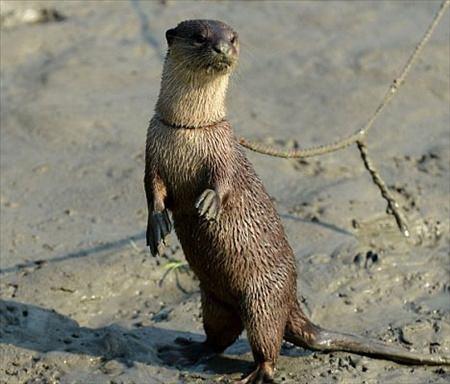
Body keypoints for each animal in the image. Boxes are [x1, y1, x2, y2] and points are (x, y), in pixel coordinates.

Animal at [145, 20, 450, 384]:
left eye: (233, 37)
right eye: (200, 37)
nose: (223, 48)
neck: (188, 130)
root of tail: (290, 299)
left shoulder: (224, 147)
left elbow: (224, 181)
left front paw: (209, 203)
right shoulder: (153, 146)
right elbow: (152, 190)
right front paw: (156, 226)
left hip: (262, 298)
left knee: (267, 343)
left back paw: (257, 373)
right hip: (215, 300)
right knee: (218, 337)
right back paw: (189, 350)